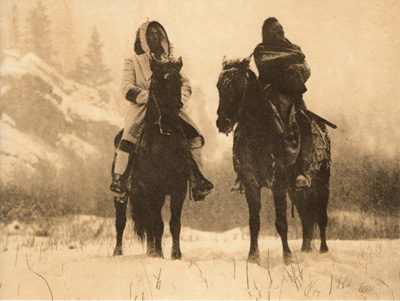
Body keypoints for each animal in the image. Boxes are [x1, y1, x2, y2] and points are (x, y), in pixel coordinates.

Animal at [111, 56, 189, 258]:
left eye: (180, 81)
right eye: (160, 80)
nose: (173, 112)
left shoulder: (179, 189)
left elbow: (174, 224)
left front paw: (176, 255)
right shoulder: (153, 189)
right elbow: (157, 224)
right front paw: (159, 254)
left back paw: (150, 249)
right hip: (123, 195)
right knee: (121, 222)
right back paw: (118, 252)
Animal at [216, 56, 332, 264]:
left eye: (238, 85)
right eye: (219, 86)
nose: (223, 122)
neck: (260, 134)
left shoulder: (277, 184)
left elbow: (281, 223)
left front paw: (287, 258)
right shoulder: (252, 184)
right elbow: (254, 223)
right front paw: (253, 258)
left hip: (321, 183)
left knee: (321, 217)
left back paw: (323, 251)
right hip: (295, 191)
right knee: (306, 218)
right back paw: (305, 250)